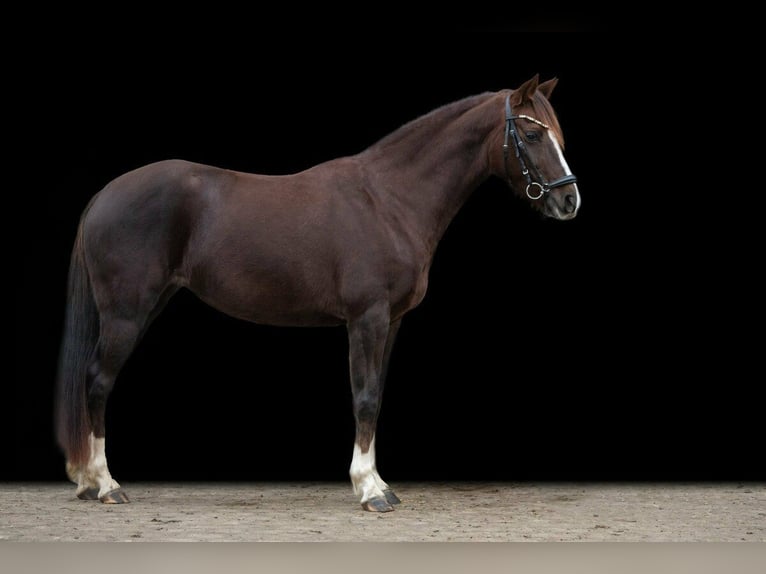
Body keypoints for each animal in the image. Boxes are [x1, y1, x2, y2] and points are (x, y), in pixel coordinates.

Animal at [55, 74, 580, 512]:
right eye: (532, 135)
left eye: (557, 135)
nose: (569, 200)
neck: (388, 200)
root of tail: (104, 196)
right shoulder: (366, 318)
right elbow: (363, 396)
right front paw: (369, 491)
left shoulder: (391, 321)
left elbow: (377, 395)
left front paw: (379, 483)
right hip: (126, 313)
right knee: (97, 381)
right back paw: (104, 484)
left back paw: (87, 481)